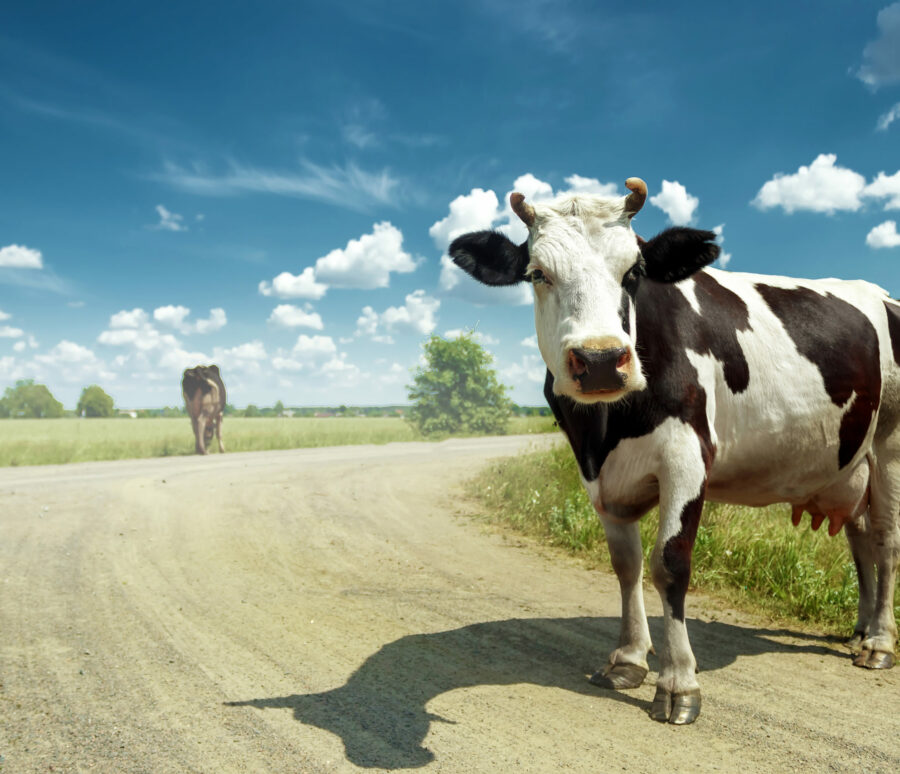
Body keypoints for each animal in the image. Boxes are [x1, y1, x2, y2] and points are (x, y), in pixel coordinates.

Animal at [449, 178, 900, 725]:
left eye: (635, 272)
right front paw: (627, 659)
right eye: (537, 273)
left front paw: (678, 681)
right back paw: (860, 630)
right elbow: (626, 565)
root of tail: (879, 292)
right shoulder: (597, 473)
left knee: (886, 541)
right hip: (851, 463)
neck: (607, 428)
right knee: (860, 540)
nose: (601, 360)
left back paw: (879, 642)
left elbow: (670, 564)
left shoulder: (687, 457)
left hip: (892, 446)